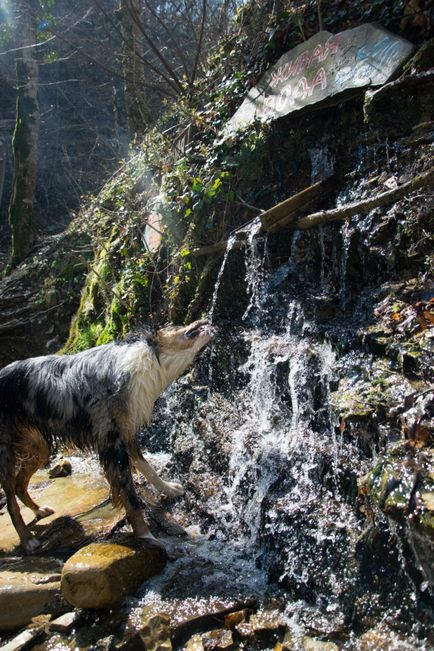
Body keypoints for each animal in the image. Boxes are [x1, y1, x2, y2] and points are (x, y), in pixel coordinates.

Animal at [0, 320, 214, 552]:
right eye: (176, 325)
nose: (206, 320)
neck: (146, 361)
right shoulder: (113, 443)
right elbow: (130, 497)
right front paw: (146, 536)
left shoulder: (127, 434)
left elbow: (147, 468)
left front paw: (168, 489)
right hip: (6, 452)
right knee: (10, 498)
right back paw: (27, 539)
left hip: (39, 447)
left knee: (20, 484)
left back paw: (39, 511)